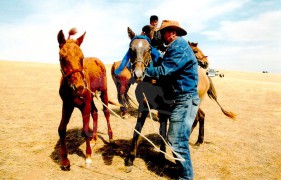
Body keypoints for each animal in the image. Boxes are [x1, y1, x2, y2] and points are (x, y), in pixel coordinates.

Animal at [56, 28, 113, 170]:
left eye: (81, 58)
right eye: (62, 58)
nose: (80, 87)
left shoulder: (85, 105)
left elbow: (85, 129)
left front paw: (88, 157)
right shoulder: (67, 105)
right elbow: (61, 129)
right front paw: (65, 161)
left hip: (103, 92)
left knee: (106, 112)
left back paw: (110, 137)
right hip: (91, 98)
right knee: (95, 112)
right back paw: (94, 139)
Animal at [119, 27, 235, 169]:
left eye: (149, 49)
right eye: (131, 49)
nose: (138, 74)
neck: (154, 81)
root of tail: (205, 75)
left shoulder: (163, 110)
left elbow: (163, 132)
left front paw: (161, 158)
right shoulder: (144, 107)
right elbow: (137, 130)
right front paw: (131, 158)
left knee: (197, 118)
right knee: (200, 116)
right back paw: (196, 141)